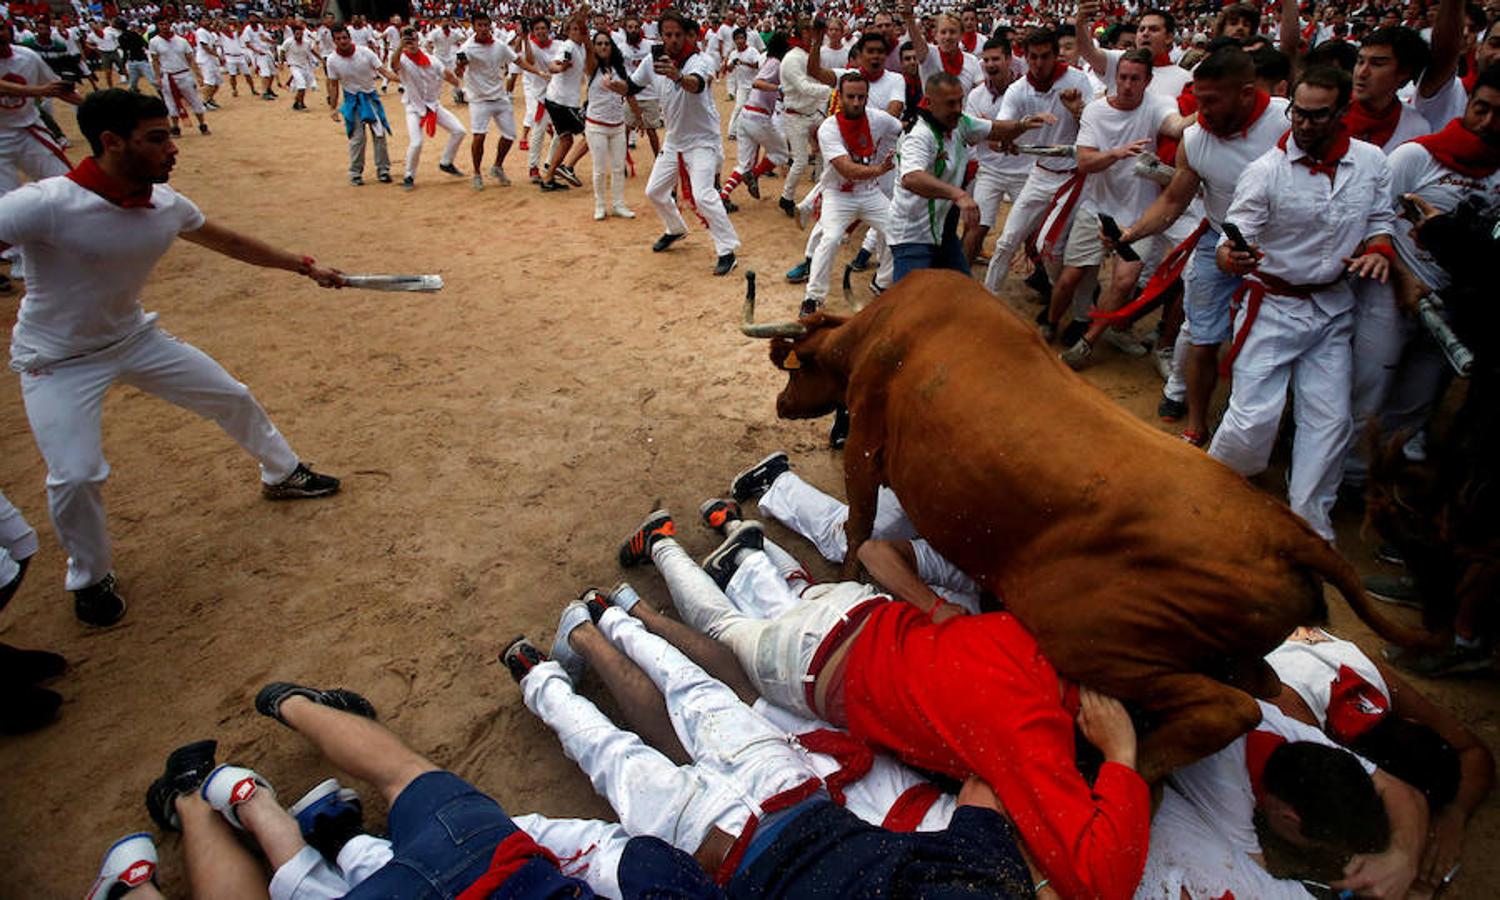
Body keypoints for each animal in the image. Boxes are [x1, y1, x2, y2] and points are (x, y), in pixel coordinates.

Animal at [744, 267, 1434, 780]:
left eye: (795, 366)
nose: (778, 401)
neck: (885, 330)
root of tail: (1285, 532)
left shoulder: (865, 443)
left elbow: (860, 523)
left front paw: (847, 574)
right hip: (1212, 653)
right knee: (1261, 686)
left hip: (1093, 639)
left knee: (1230, 709)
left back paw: (1130, 771)